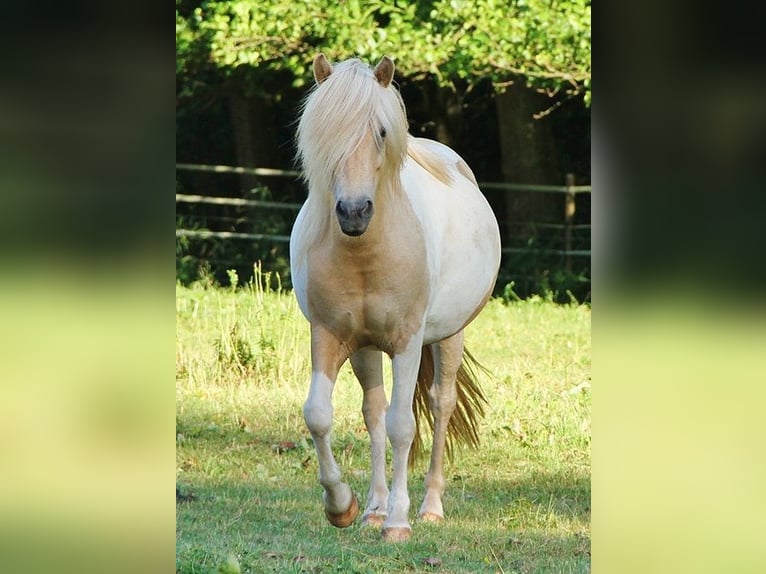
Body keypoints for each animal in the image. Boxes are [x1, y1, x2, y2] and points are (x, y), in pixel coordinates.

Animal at [290, 54, 504, 544]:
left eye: (381, 132)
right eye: (323, 133)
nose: (354, 211)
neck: (366, 251)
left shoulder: (407, 342)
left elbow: (403, 426)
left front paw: (399, 522)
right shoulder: (330, 336)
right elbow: (320, 415)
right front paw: (343, 507)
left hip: (448, 337)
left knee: (439, 405)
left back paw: (430, 507)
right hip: (365, 349)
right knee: (374, 412)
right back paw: (374, 508)